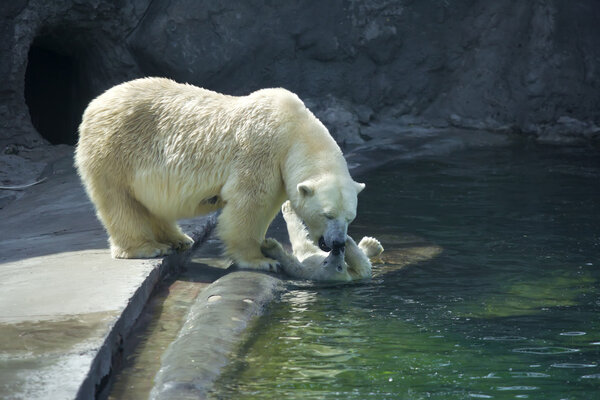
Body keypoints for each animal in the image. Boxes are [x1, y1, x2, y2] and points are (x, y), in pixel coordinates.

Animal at [75, 77, 366, 272]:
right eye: (327, 215)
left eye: (350, 217)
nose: (338, 243)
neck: (294, 130)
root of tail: (95, 104)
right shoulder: (261, 150)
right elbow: (249, 203)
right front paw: (261, 261)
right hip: (115, 151)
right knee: (120, 201)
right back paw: (147, 247)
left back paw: (179, 239)